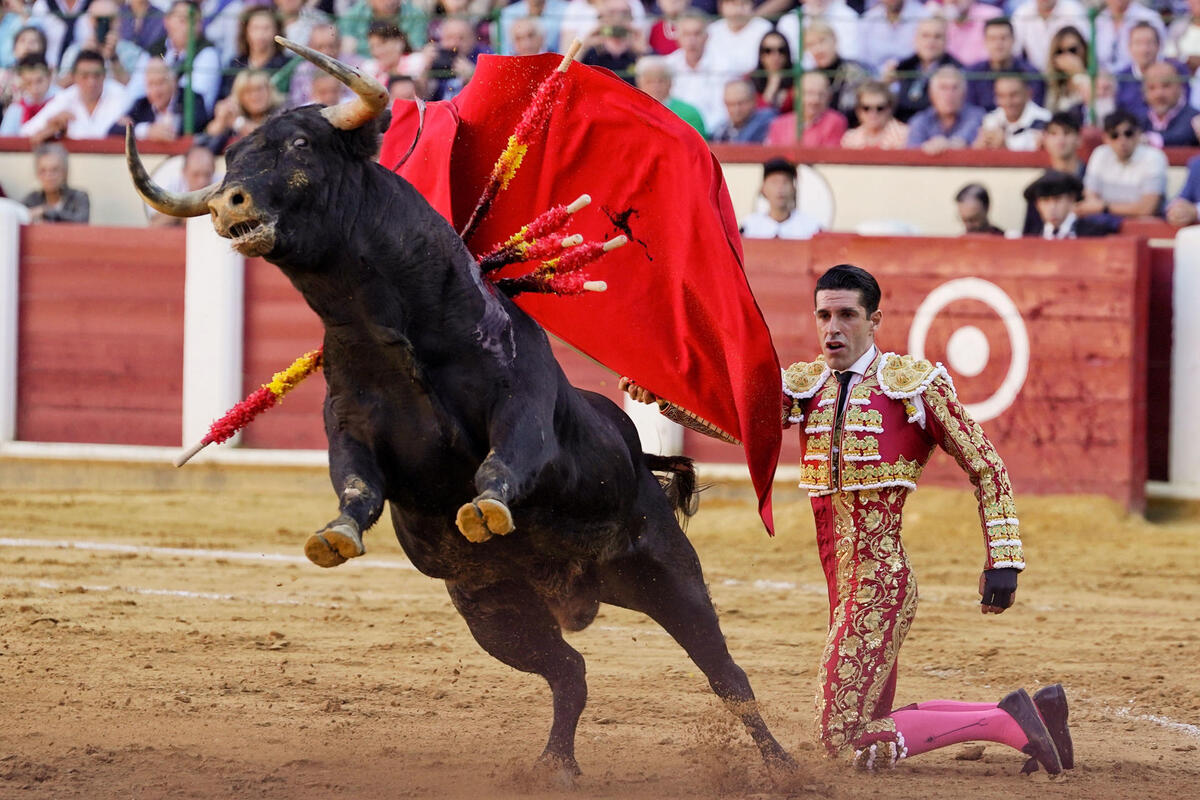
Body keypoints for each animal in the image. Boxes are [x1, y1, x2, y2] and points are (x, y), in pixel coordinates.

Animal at [129, 40, 796, 786]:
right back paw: (555, 766)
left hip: (667, 570)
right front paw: (335, 536)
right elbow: (355, 486)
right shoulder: (348, 426)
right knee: (569, 671)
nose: (226, 202)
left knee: (726, 676)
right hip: (495, 613)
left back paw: (785, 769)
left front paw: (485, 509)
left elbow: (508, 455)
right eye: (233, 159)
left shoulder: (523, 403)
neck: (392, 330)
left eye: (300, 144)